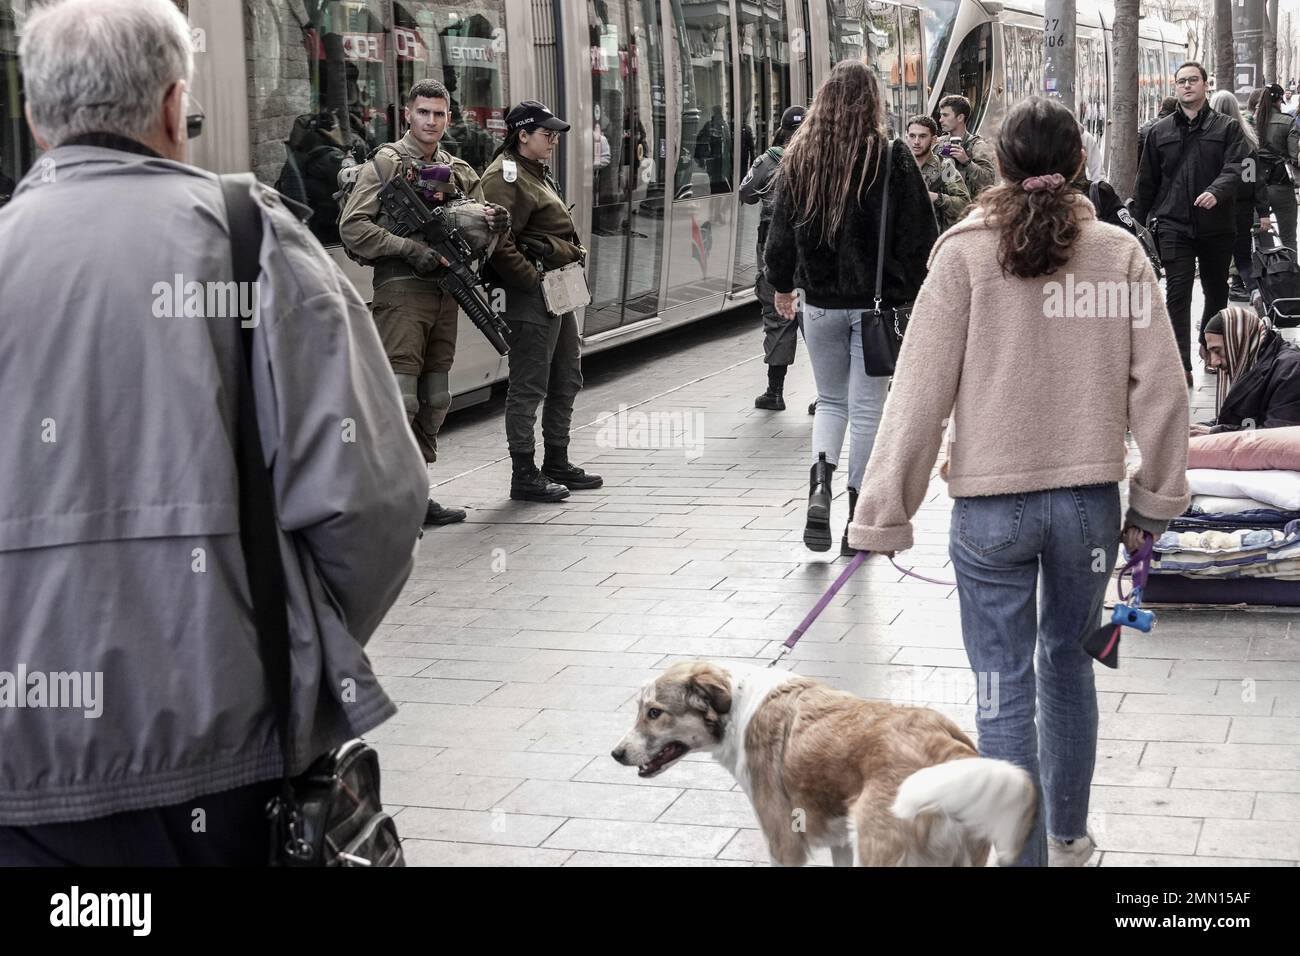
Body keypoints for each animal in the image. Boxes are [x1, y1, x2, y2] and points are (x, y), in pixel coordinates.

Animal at [611, 660, 1034, 868]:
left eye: (653, 712)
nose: (616, 754)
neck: (738, 706)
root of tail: (947, 751)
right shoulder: (841, 841)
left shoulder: (783, 843)